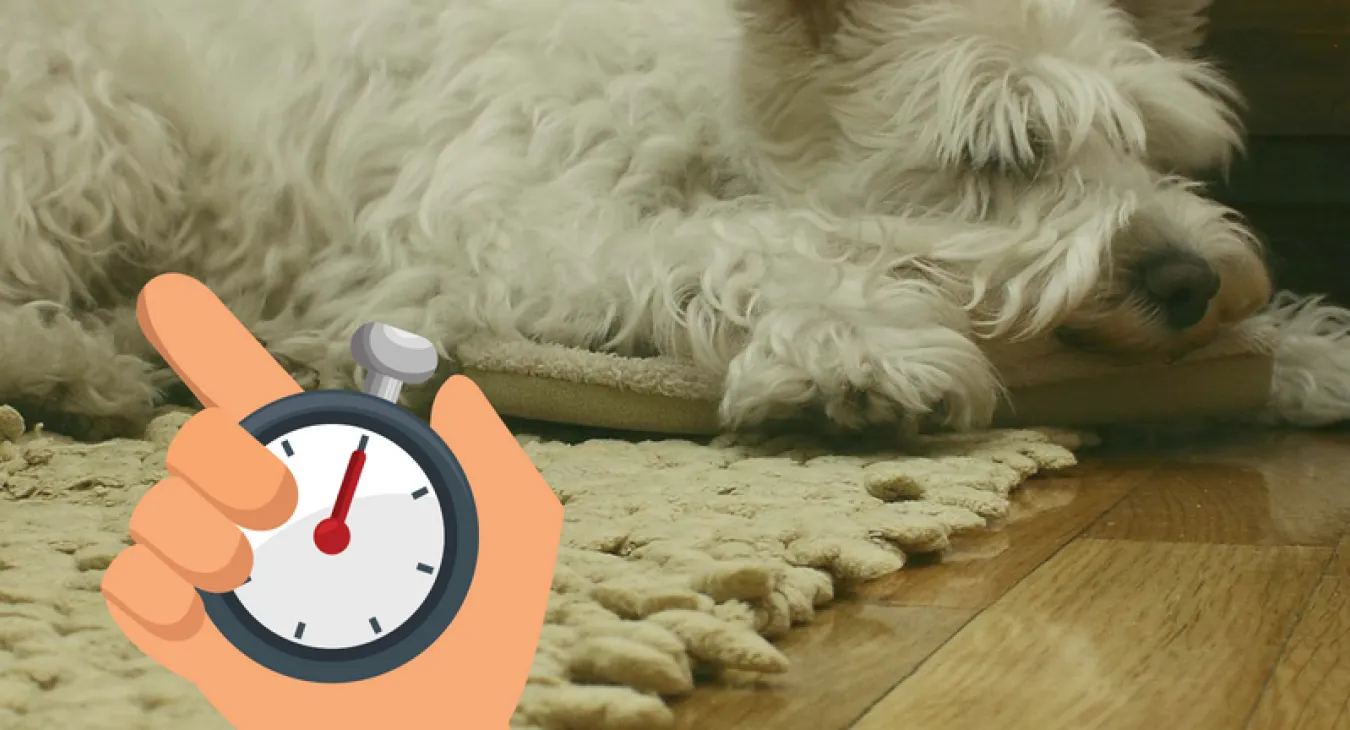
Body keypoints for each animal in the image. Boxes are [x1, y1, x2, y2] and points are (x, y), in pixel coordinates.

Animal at [0, 0, 1344, 437]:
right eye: (1002, 150)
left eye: (1156, 144)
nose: (1184, 280)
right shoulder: (490, 239)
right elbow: (738, 243)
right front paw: (857, 350)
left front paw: (1306, 350)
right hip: (98, 124)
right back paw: (71, 371)